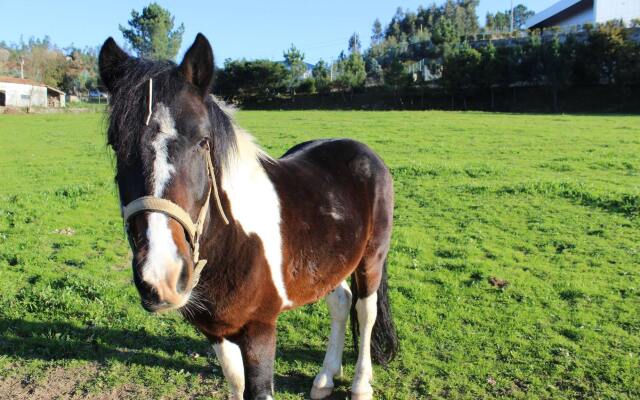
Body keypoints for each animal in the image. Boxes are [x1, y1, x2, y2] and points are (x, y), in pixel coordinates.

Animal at [99, 32, 400, 398]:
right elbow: (236, 383)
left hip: (371, 258)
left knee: (365, 311)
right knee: (341, 302)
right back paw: (325, 379)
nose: (163, 276)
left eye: (203, 141)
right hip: (330, 262)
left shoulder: (260, 329)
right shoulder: (216, 330)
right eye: (116, 145)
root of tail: (363, 151)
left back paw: (359, 384)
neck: (234, 242)